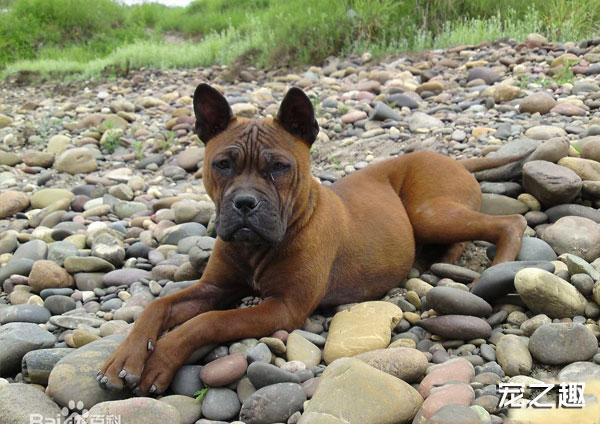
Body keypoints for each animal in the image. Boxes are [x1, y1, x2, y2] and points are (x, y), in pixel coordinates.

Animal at [97, 83, 524, 394]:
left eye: (279, 167)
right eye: (222, 165)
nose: (244, 203)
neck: (258, 245)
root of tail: (451, 159)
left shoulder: (282, 308)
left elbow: (208, 322)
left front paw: (161, 359)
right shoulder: (213, 288)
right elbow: (158, 306)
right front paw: (124, 359)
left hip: (429, 213)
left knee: (511, 221)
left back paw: (499, 267)